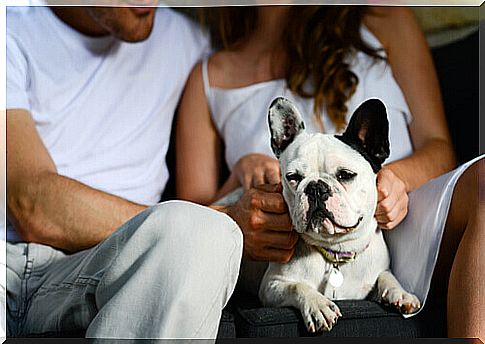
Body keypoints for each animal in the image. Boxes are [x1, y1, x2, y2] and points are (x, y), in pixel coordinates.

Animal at [258, 97, 420, 334]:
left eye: (345, 175)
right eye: (293, 177)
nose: (315, 188)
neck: (336, 250)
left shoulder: (378, 271)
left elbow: (387, 276)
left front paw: (400, 293)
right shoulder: (271, 286)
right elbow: (297, 286)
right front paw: (318, 305)